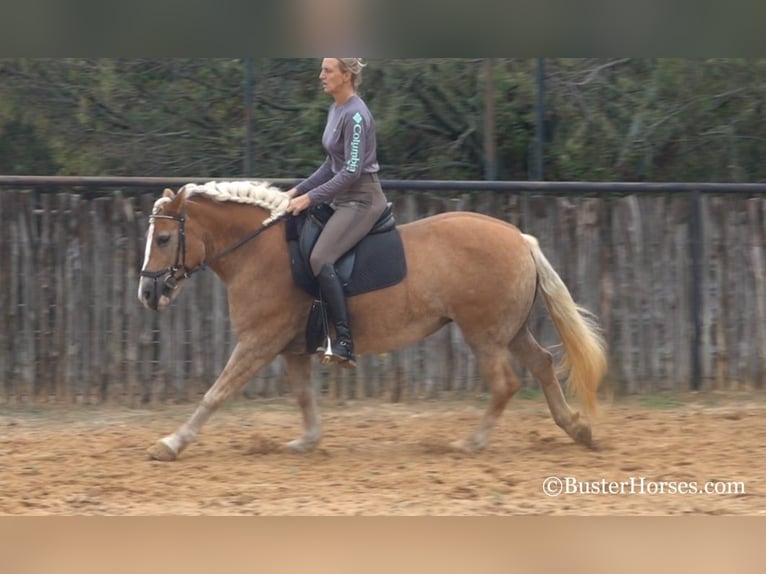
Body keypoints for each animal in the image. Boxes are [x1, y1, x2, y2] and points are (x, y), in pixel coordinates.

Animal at [136, 182, 608, 462]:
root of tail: (520, 238)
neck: (260, 250)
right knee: (543, 364)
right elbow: (304, 396)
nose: (148, 294)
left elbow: (215, 394)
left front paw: (170, 443)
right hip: (510, 330)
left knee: (505, 384)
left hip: (484, 334)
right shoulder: (291, 348)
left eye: (165, 239)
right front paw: (307, 441)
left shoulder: (258, 341)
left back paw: (471, 443)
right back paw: (577, 429)